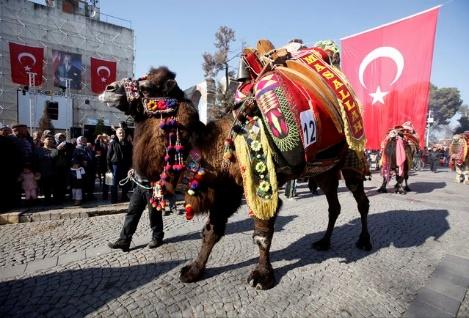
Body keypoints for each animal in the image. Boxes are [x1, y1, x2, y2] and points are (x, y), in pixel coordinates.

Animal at [100, 38, 372, 290]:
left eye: (147, 86)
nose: (109, 88)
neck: (215, 148)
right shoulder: (226, 191)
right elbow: (211, 231)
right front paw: (193, 271)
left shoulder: (262, 184)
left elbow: (261, 234)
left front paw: (262, 277)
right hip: (325, 171)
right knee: (334, 205)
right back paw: (324, 242)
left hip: (352, 161)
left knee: (361, 201)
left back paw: (364, 241)